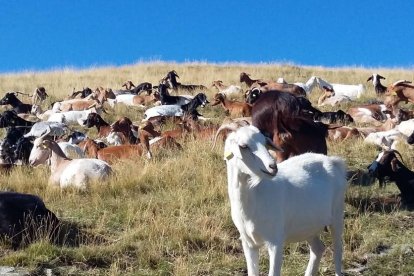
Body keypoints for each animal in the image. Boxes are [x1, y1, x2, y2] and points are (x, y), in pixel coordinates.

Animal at [223, 125, 346, 276]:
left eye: (265, 142)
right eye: (244, 146)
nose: (272, 166)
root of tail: (333, 161)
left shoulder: (276, 241)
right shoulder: (248, 242)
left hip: (337, 215)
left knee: (338, 250)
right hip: (308, 226)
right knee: (318, 248)